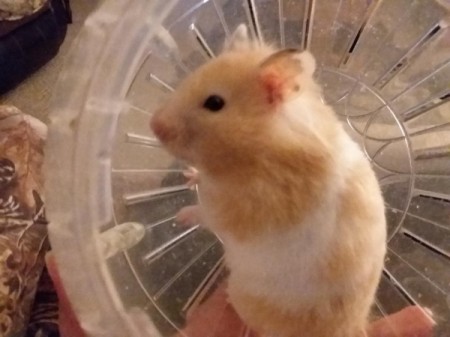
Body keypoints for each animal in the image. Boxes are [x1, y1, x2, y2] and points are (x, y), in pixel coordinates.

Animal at [150, 25, 386, 336]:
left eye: (214, 103)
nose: (153, 125)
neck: (258, 146)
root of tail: (351, 329)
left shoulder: (230, 210)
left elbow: (204, 214)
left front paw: (181, 215)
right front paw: (190, 175)